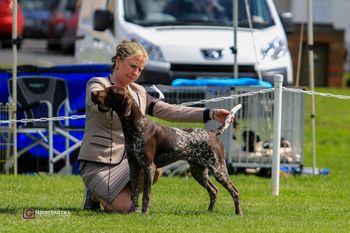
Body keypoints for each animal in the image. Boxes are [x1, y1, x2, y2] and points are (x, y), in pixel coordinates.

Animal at [91, 85, 242, 215]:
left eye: (111, 91)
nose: (92, 93)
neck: (137, 126)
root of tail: (211, 133)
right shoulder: (133, 165)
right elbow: (134, 194)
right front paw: (132, 212)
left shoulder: (149, 167)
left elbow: (146, 195)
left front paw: (144, 213)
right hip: (198, 171)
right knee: (214, 190)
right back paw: (210, 211)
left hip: (218, 169)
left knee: (235, 191)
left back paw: (238, 213)